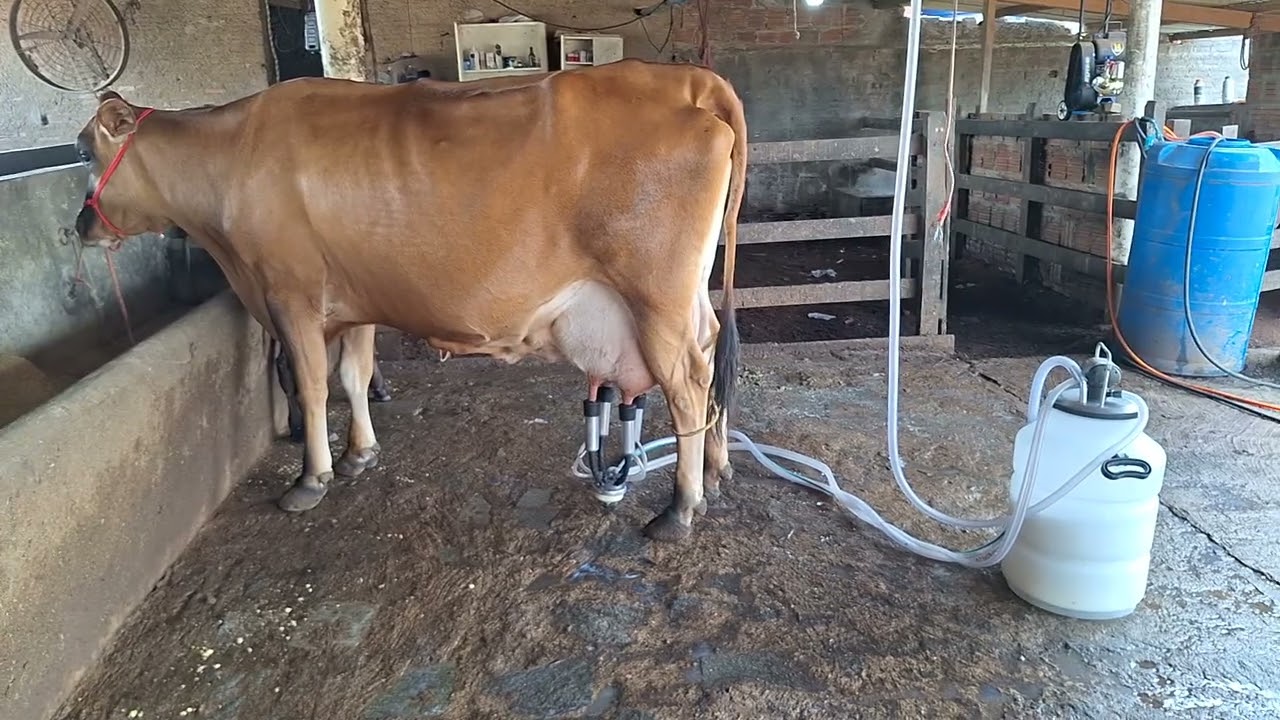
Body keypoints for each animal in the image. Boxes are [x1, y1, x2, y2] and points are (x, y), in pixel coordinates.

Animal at [72, 59, 746, 542]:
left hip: (654, 297)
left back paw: (680, 509)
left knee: (689, 384)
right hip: (685, 297)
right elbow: (354, 373)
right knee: (712, 356)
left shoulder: (288, 292)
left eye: (84, 148)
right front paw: (359, 453)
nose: (80, 225)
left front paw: (311, 477)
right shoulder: (356, 297)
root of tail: (690, 80)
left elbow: (312, 386)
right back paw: (717, 471)